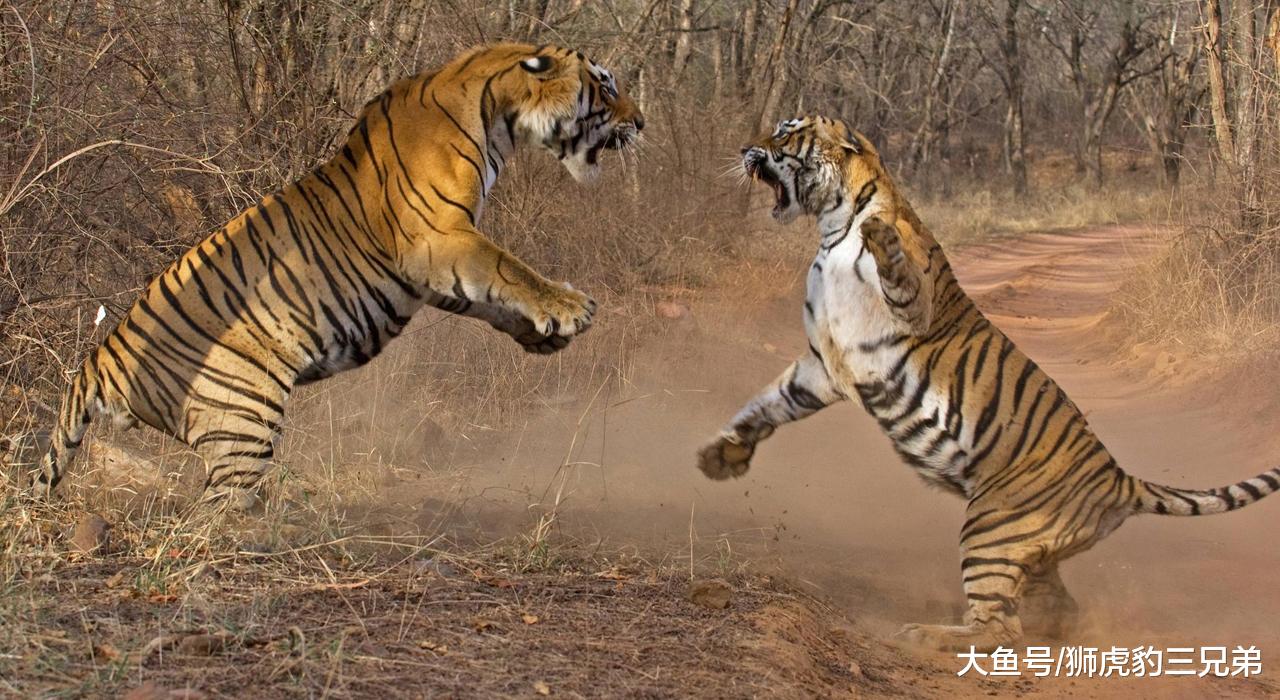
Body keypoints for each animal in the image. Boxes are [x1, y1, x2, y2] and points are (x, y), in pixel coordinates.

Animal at [22, 43, 644, 511]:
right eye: (605, 85)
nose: (641, 121)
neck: (496, 113)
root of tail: (99, 360)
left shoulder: (438, 267)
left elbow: (488, 297)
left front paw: (542, 336)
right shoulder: (439, 240)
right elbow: (506, 269)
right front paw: (569, 308)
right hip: (244, 415)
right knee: (212, 515)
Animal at [696, 115, 1280, 651]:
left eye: (785, 132)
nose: (745, 148)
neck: (831, 227)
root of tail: (1119, 479)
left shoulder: (910, 310)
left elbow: (896, 268)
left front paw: (880, 235)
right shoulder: (823, 363)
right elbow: (768, 404)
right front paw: (721, 457)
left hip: (989, 527)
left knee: (999, 627)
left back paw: (924, 634)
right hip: (1030, 550)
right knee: (1048, 613)